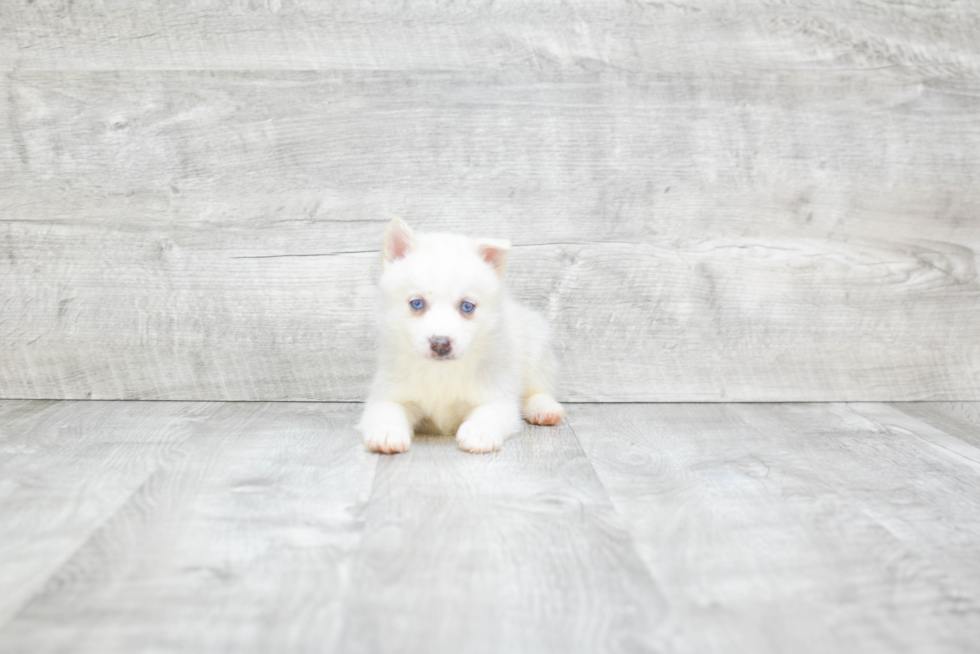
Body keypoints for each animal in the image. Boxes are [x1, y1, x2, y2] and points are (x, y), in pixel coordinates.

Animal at [360, 218, 564, 454]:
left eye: (467, 306)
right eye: (417, 303)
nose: (440, 344)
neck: (441, 371)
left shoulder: (497, 394)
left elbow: (490, 412)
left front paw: (480, 433)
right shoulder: (389, 392)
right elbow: (387, 410)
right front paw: (387, 432)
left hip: (537, 347)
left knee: (538, 390)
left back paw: (544, 408)